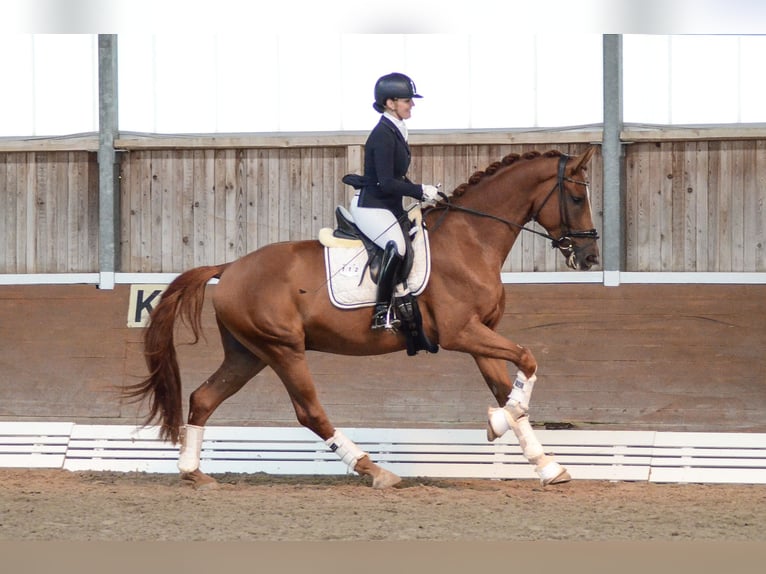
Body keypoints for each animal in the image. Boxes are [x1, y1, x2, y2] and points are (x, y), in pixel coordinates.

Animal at [126, 147, 604, 490]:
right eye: (576, 197)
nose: (589, 257)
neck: (472, 239)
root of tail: (228, 269)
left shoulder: (480, 334)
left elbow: (510, 389)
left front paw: (545, 463)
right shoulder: (460, 333)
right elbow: (527, 359)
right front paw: (501, 423)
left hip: (249, 353)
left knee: (204, 398)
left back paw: (194, 472)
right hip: (282, 349)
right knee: (309, 412)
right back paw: (374, 470)